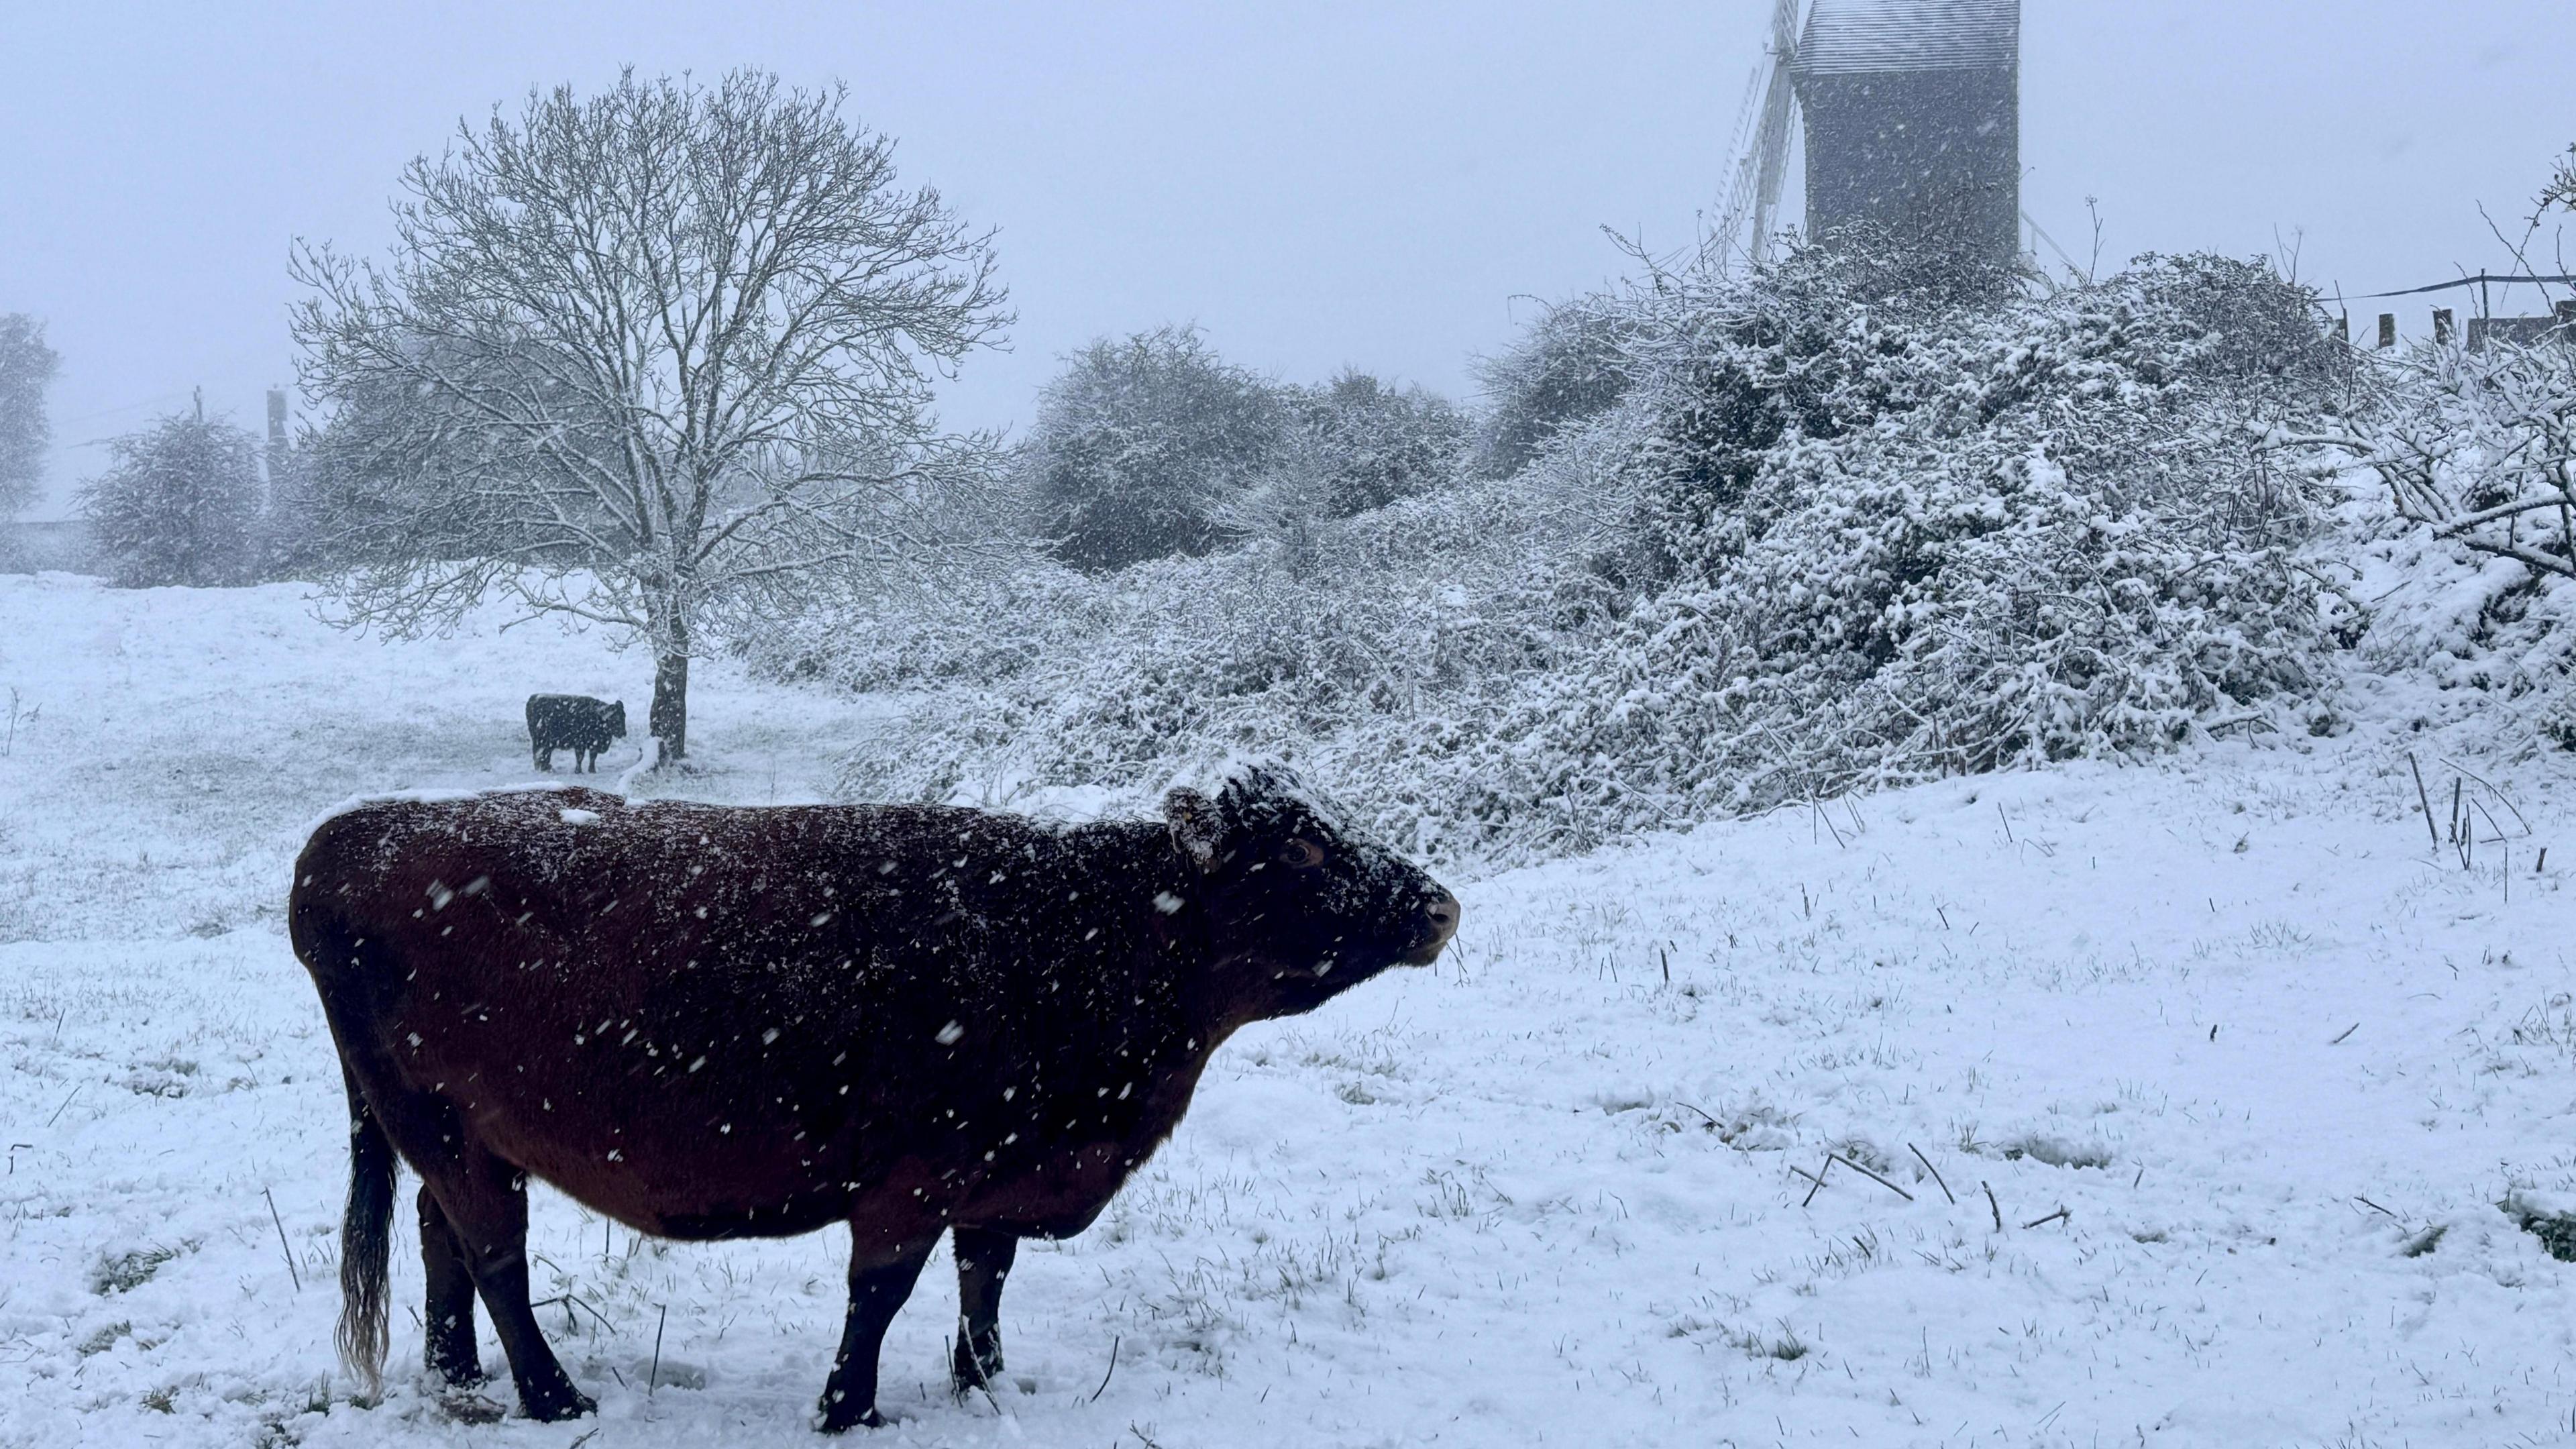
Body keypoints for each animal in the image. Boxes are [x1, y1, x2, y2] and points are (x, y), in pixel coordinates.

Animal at [287, 763, 1452, 1423]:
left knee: (442, 1238)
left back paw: (461, 1378)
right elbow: (879, 1297)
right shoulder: (917, 1177)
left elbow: (986, 1281)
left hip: (459, 1133)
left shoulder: (1000, 1172)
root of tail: (354, 831)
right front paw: (849, 1408)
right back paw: (551, 1397)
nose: (1439, 905)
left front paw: (984, 1385)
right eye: (1307, 845)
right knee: (496, 1257)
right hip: (436, 1122)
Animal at [520, 696, 626, 773]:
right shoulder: (580, 744)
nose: (624, 733)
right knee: (540, 755)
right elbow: (580, 758)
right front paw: (579, 771)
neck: (598, 718)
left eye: (624, 716)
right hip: (540, 742)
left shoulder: (593, 745)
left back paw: (547, 768)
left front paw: (592, 770)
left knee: (545, 755)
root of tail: (533, 699)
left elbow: (592, 758)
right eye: (616, 719)